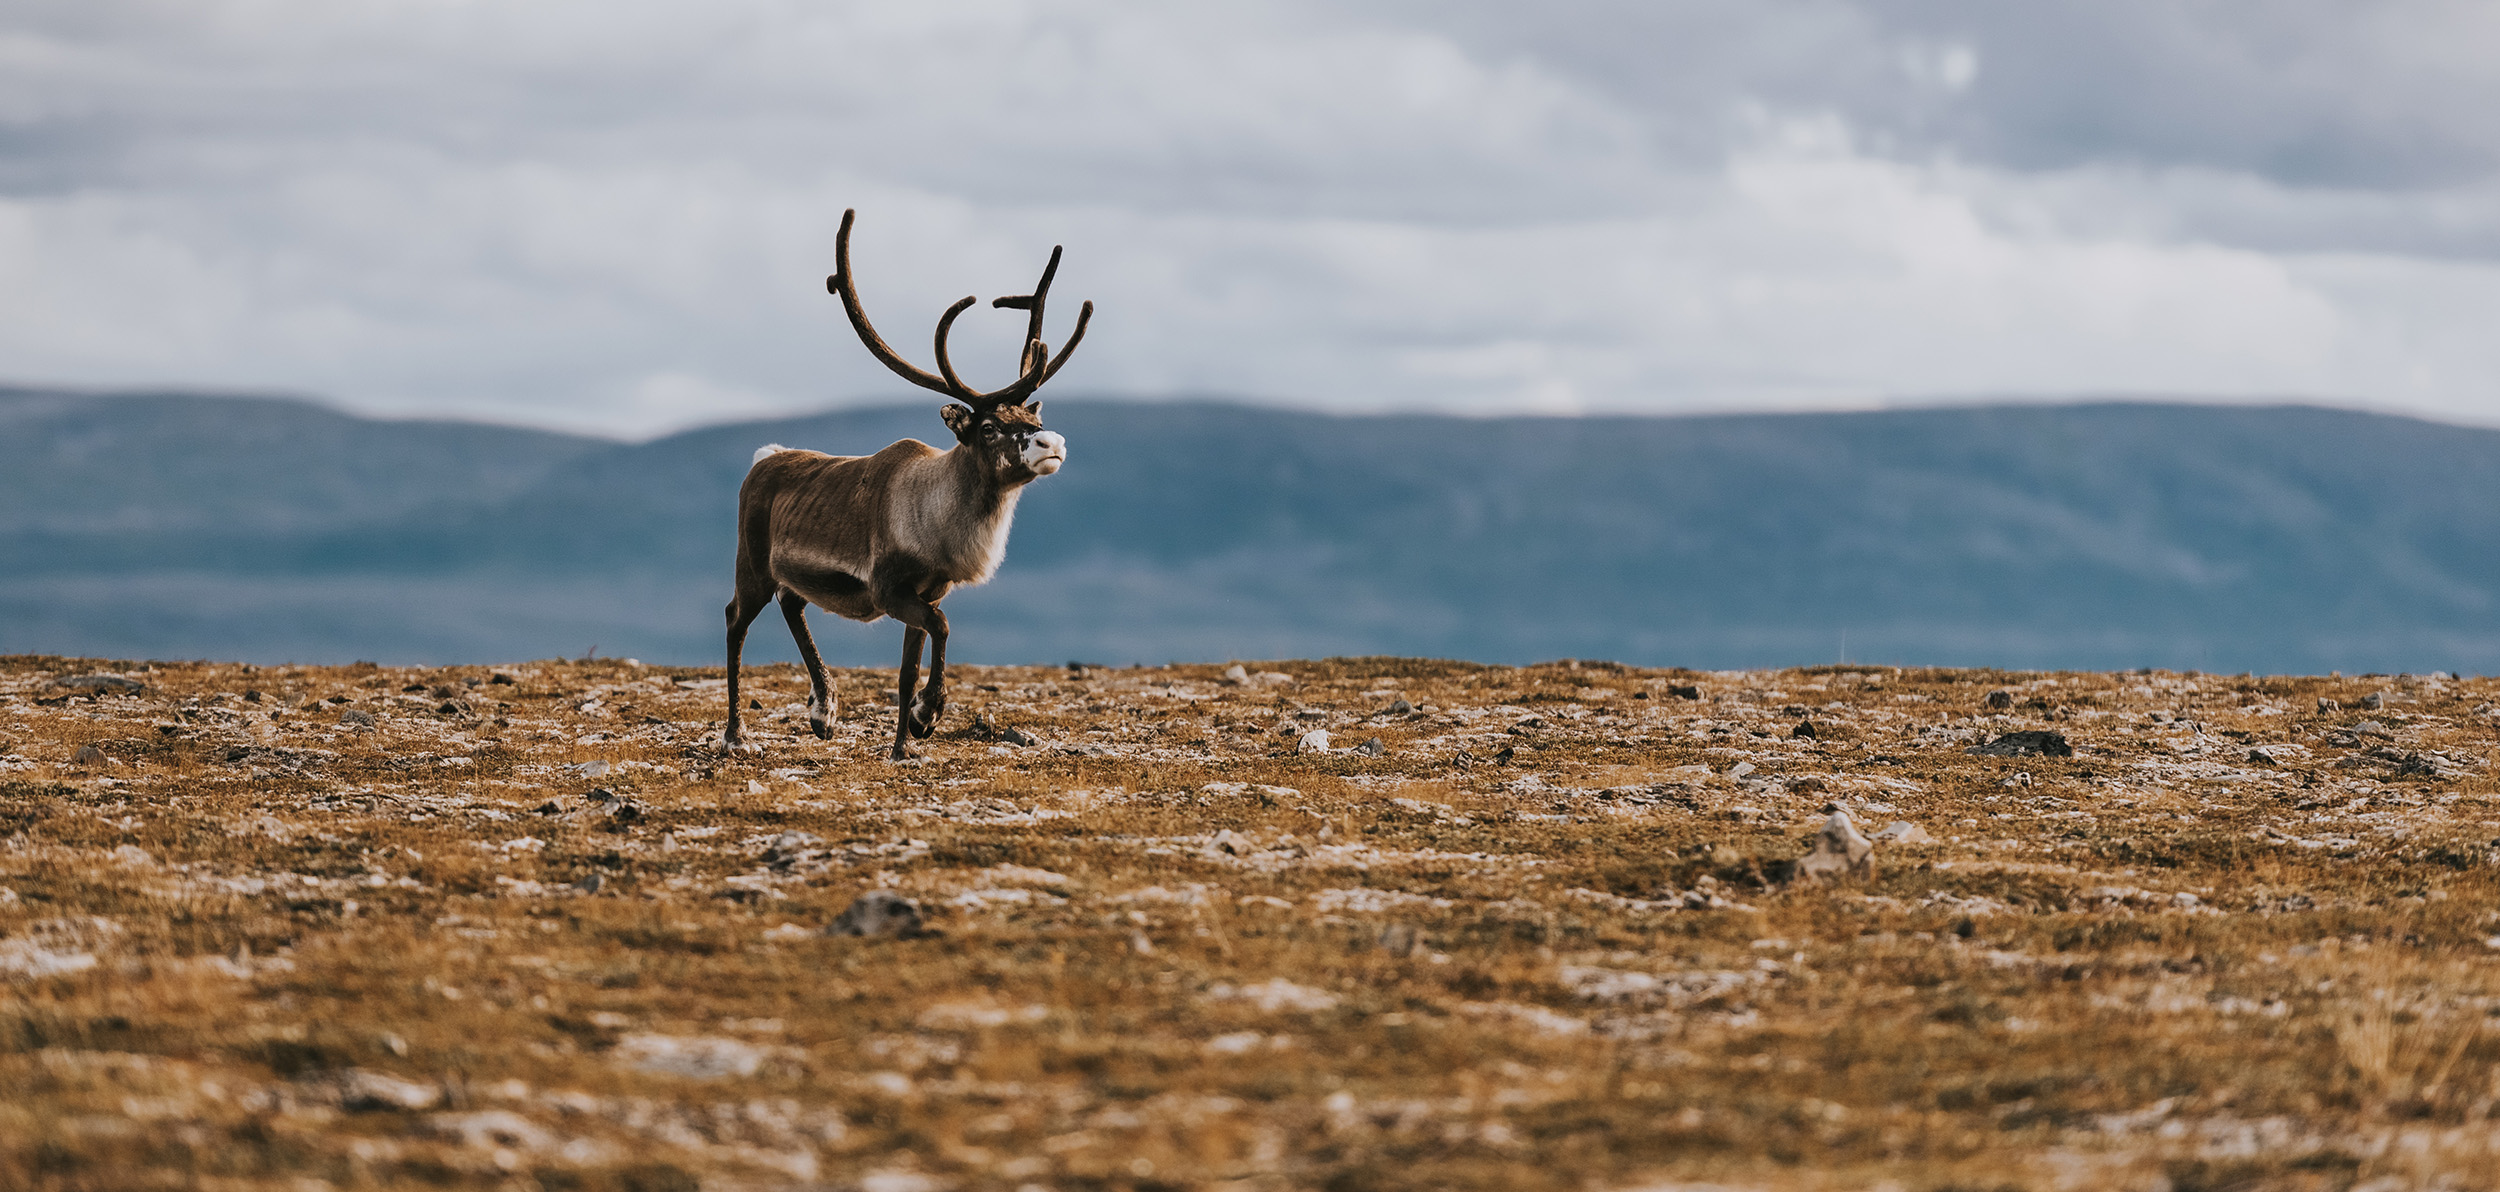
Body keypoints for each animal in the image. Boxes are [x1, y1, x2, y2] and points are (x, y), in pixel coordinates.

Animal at [724, 208, 1088, 761]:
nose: (1053, 442)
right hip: (753, 563)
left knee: (792, 603)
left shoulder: (928, 591)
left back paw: (824, 710)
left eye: (1032, 416)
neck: (937, 520)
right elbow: (941, 629)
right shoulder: (889, 589)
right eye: (988, 427)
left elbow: (906, 669)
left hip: (792, 575)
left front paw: (902, 747)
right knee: (735, 619)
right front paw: (925, 716)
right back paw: (735, 734)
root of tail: (764, 460)